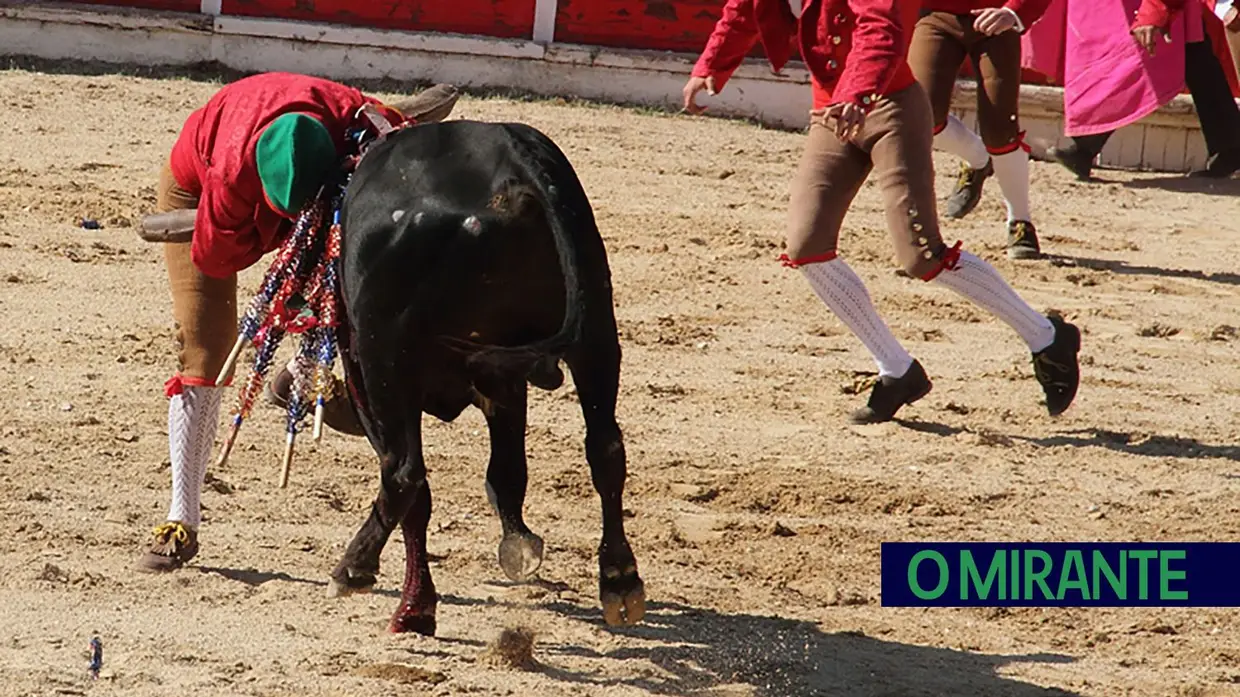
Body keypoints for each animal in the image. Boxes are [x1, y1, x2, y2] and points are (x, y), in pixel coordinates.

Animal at [324, 117, 644, 630]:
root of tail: (513, 168)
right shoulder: (504, 381)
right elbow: (507, 472)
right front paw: (520, 546)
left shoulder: (367, 370)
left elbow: (416, 486)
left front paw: (414, 604)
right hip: (596, 331)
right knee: (606, 449)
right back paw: (619, 579)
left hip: (383, 357)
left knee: (405, 473)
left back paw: (362, 571)